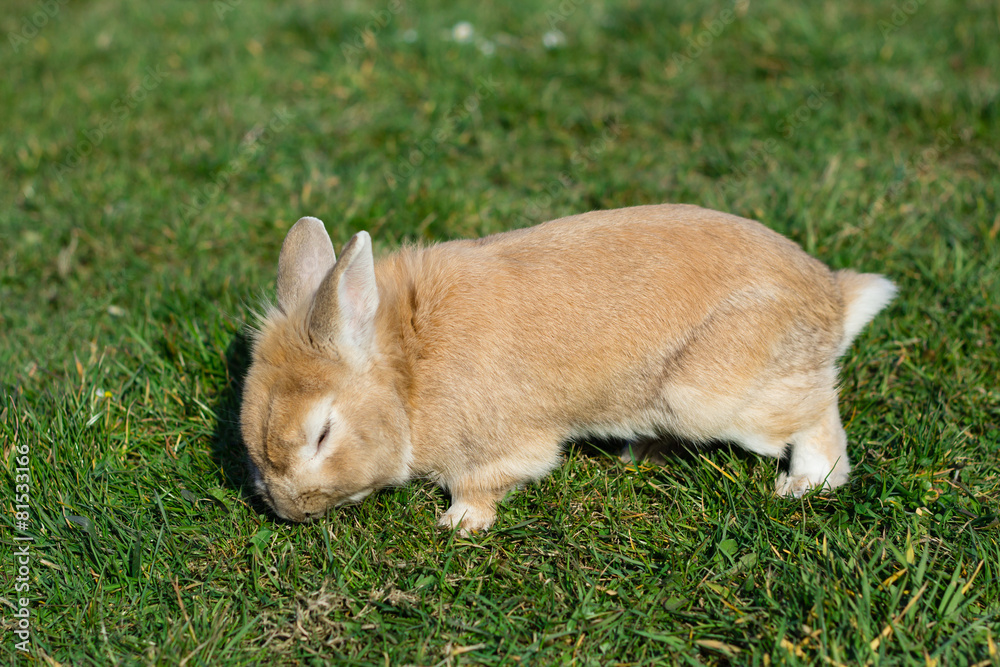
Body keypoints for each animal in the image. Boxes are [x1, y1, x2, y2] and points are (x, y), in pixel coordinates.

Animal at [242, 206, 900, 536]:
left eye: (322, 434)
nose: (288, 511)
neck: (408, 371)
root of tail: (831, 300)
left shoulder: (495, 447)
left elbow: (484, 483)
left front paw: (458, 525)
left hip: (715, 394)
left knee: (816, 412)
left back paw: (804, 484)